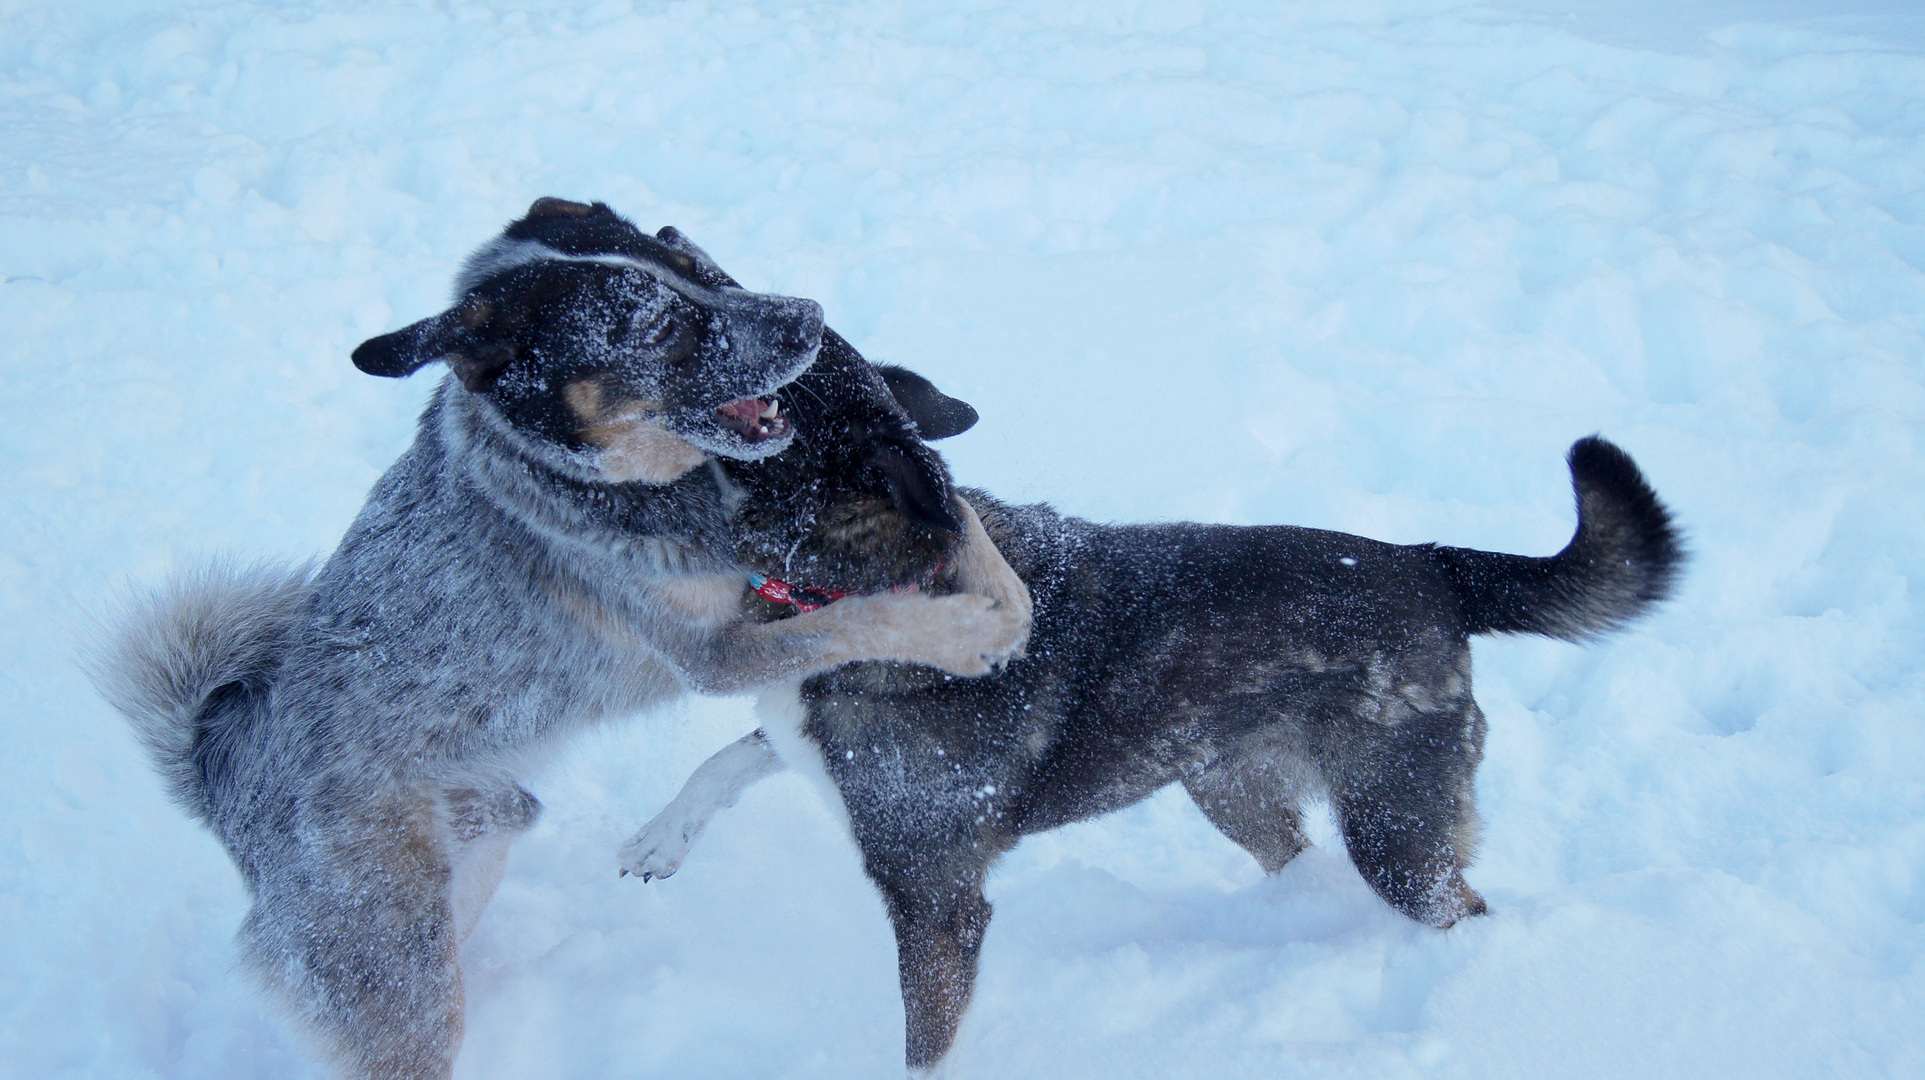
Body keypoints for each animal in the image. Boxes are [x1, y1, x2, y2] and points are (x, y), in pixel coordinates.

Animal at [88, 200, 1031, 1078]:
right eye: (659, 326)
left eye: (692, 262)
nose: (807, 312)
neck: (654, 488)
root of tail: (221, 780)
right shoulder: (717, 652)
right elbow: (858, 613)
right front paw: (971, 627)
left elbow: (956, 514)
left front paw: (1002, 584)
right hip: (401, 975)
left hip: (468, 873)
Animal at [623, 358, 1678, 1062]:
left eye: (792, 383)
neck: (857, 575)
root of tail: (1433, 564)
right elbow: (732, 756)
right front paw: (656, 838)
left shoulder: (935, 895)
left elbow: (927, 1039)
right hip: (1230, 786)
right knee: (1295, 856)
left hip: (1395, 826)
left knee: (1457, 903)